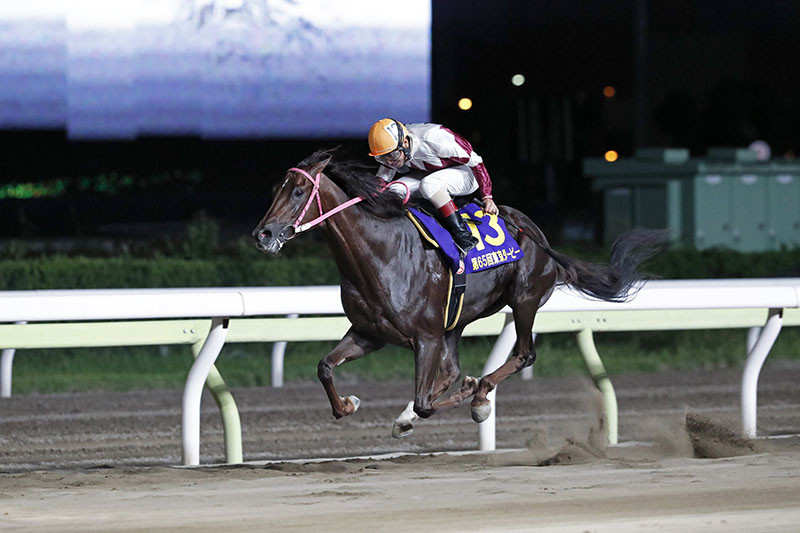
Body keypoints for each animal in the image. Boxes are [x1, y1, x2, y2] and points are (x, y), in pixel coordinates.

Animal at [252, 149, 664, 437]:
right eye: (274, 190)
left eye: (299, 190)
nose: (263, 234)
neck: (380, 253)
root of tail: (538, 236)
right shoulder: (371, 333)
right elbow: (325, 367)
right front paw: (349, 404)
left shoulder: (426, 337)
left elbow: (428, 401)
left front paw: (473, 394)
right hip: (457, 321)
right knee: (451, 369)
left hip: (525, 299)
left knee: (523, 354)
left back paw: (479, 395)